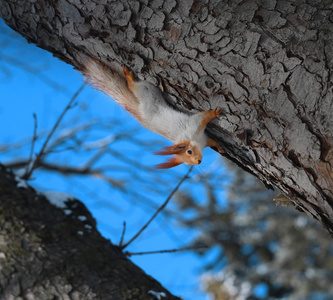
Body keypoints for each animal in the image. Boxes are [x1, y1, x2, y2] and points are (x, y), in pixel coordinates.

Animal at [82, 58, 223, 169]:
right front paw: (215, 115)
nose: (198, 161)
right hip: (147, 91)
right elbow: (205, 121)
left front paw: (219, 145)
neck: (196, 140)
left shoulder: (199, 132)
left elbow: (209, 133)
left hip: (148, 91)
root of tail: (140, 110)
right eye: (188, 155)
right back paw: (128, 75)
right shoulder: (196, 129)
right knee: (133, 86)